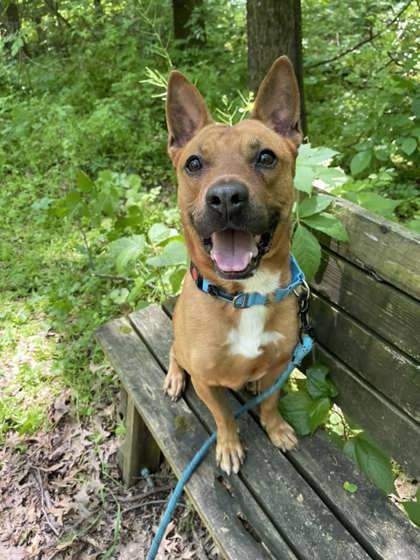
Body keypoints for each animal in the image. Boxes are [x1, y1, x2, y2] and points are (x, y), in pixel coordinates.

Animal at [164, 57, 302, 474]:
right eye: (194, 163)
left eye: (266, 157)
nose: (225, 197)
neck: (245, 296)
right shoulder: (208, 382)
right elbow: (223, 415)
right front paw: (228, 446)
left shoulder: (282, 364)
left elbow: (270, 402)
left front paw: (276, 428)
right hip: (180, 347)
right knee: (173, 352)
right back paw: (173, 376)